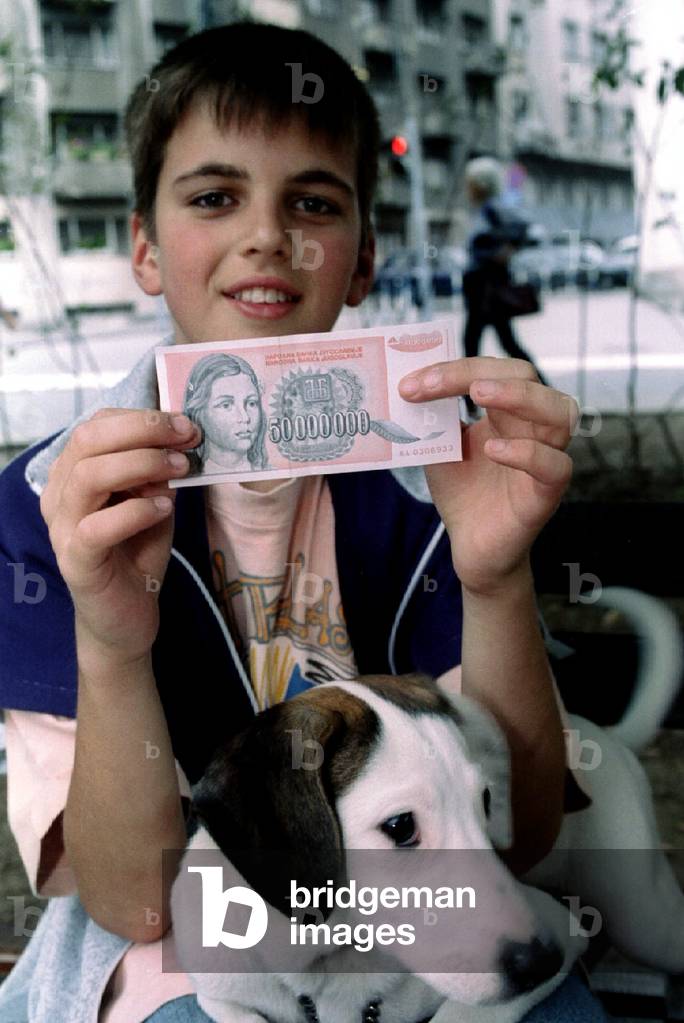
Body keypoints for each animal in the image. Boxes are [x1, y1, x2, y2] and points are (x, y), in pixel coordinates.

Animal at [170, 675, 682, 1018]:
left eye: (486, 802)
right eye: (400, 826)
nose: (541, 962)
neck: (325, 964)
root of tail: (599, 731)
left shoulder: (559, 933)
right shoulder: (219, 995)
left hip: (643, 916)